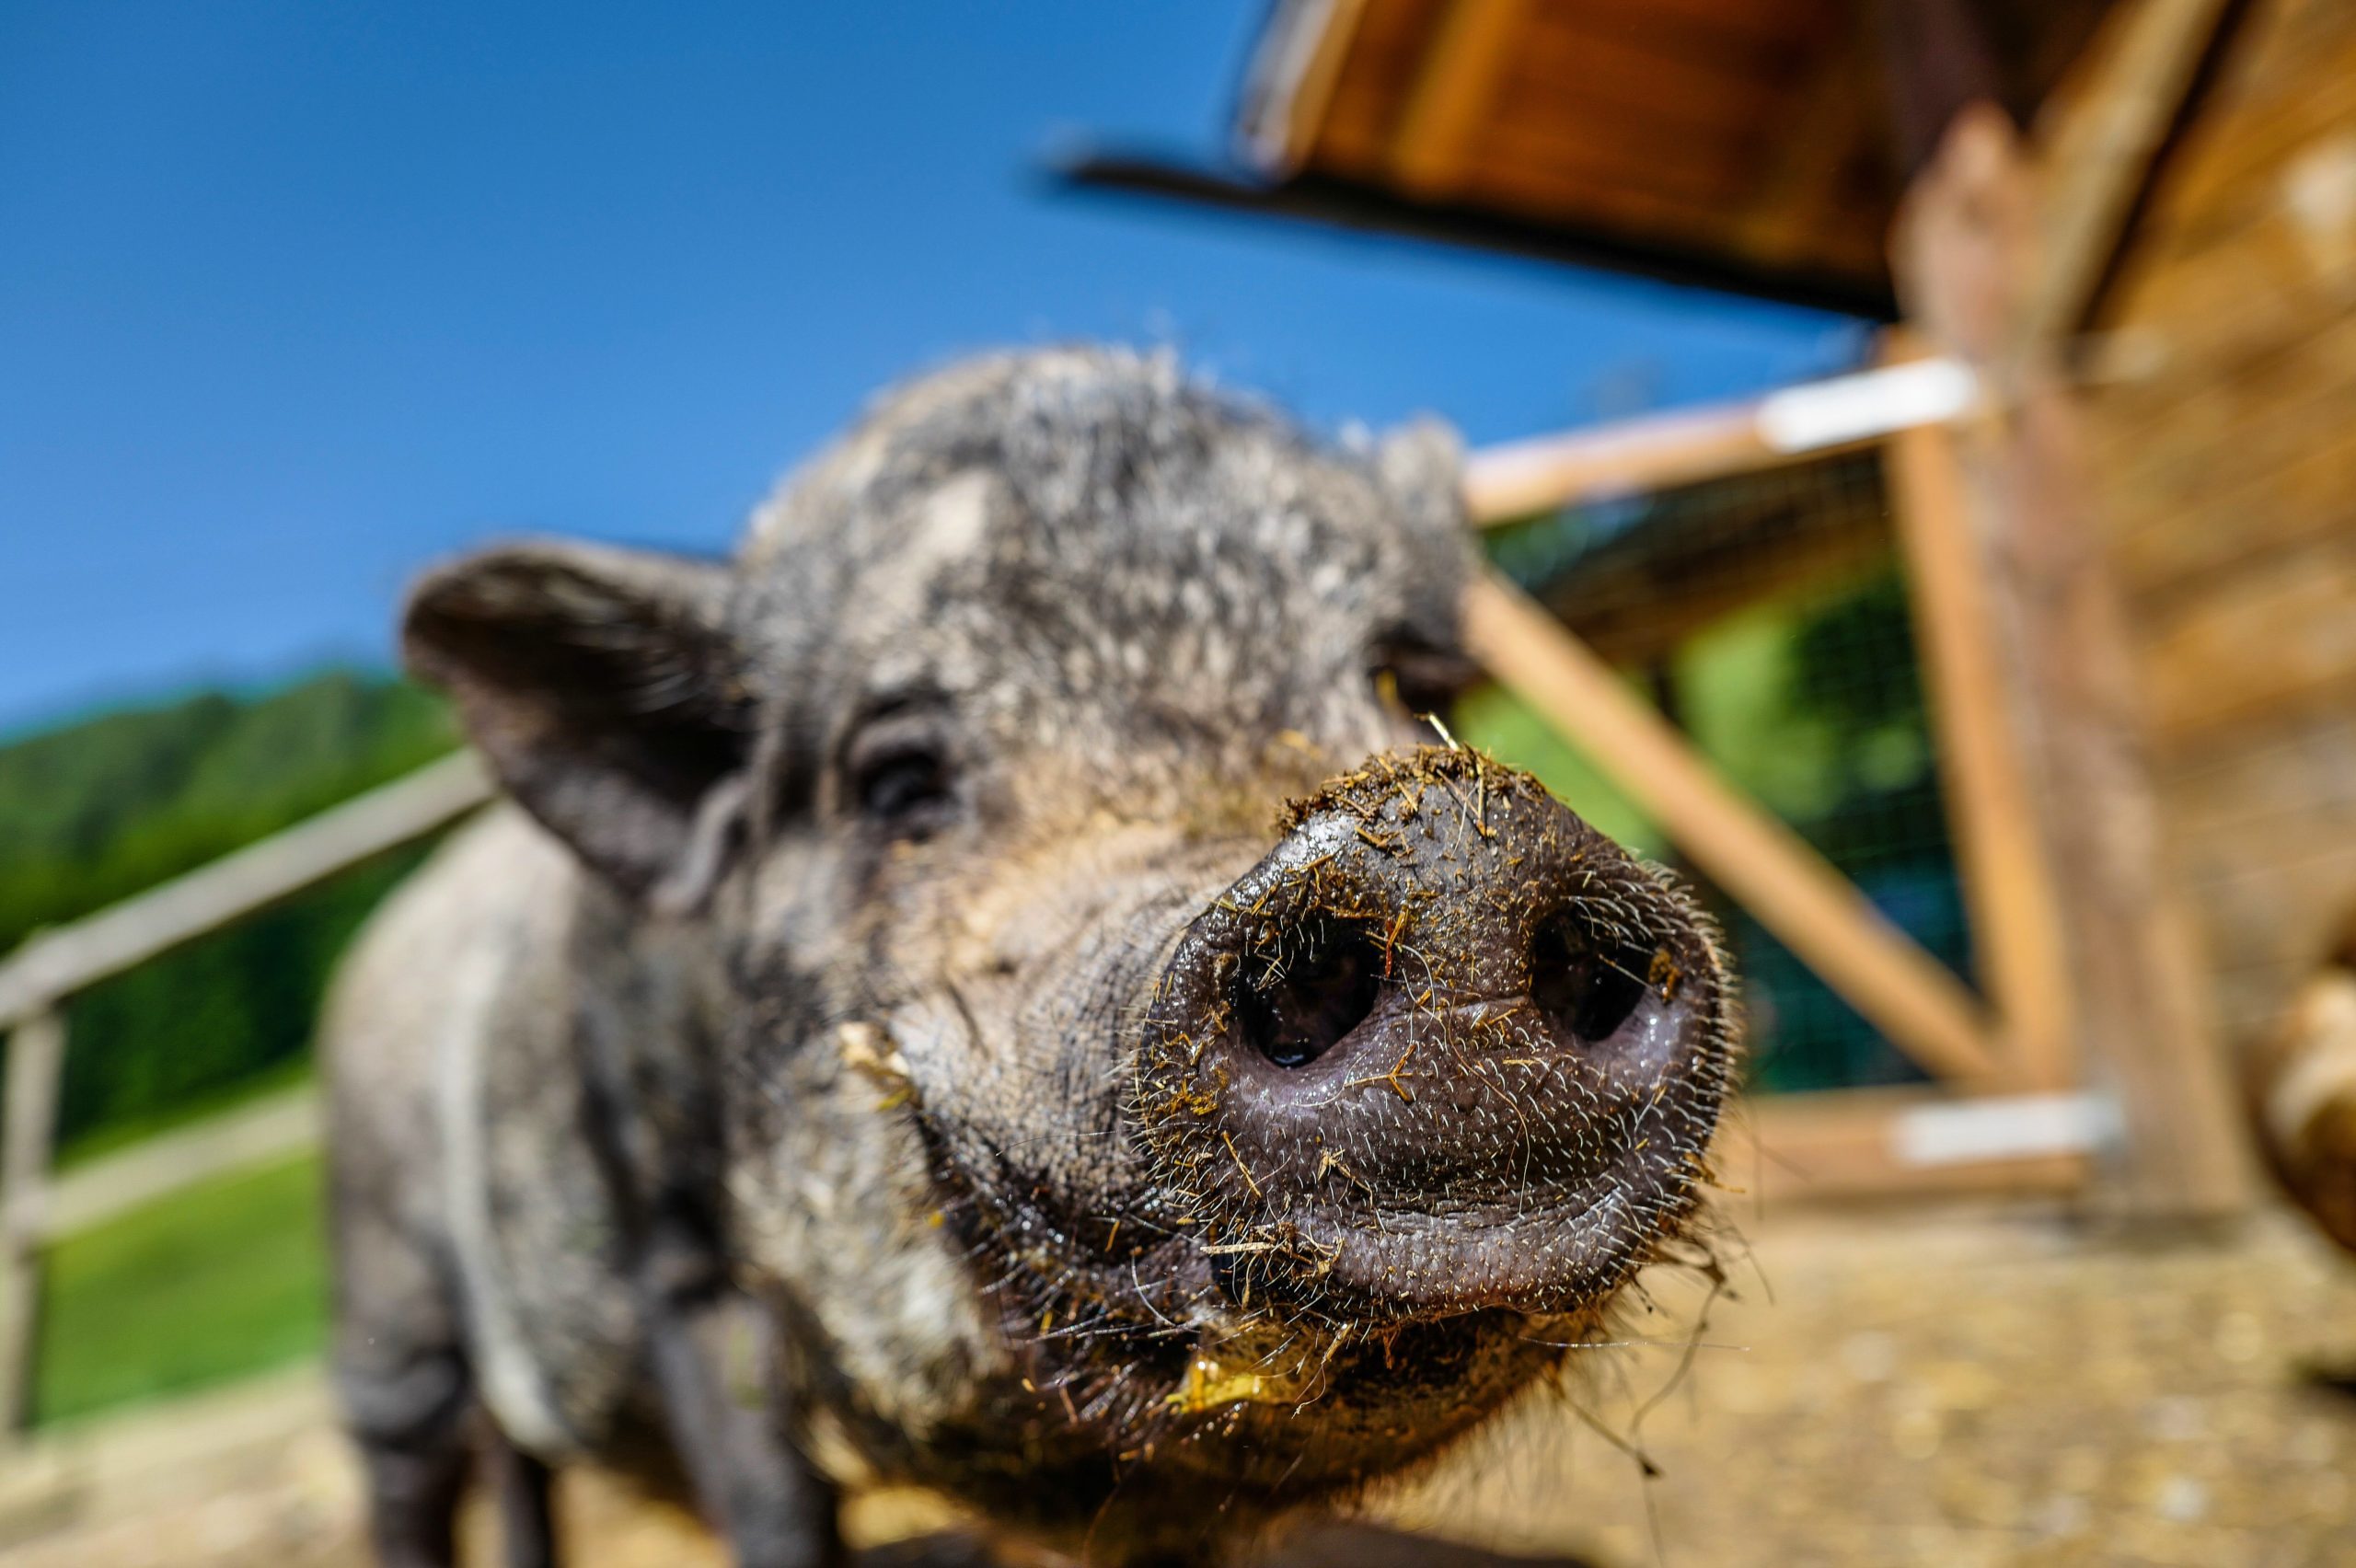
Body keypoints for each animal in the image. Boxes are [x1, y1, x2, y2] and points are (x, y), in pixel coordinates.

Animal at [322, 351, 1743, 1562]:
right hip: (384, 1301)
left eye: (1406, 685)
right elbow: (772, 1505)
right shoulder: (673, 1252)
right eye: (898, 780)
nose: (1449, 851)